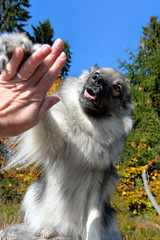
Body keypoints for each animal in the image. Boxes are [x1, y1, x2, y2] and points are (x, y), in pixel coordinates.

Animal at [0, 32, 132, 240]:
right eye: (98, 73)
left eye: (117, 88)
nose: (97, 79)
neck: (89, 126)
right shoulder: (54, 141)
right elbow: (44, 115)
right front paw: (21, 51)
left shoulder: (98, 182)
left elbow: (93, 218)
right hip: (34, 191)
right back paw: (48, 229)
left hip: (109, 214)